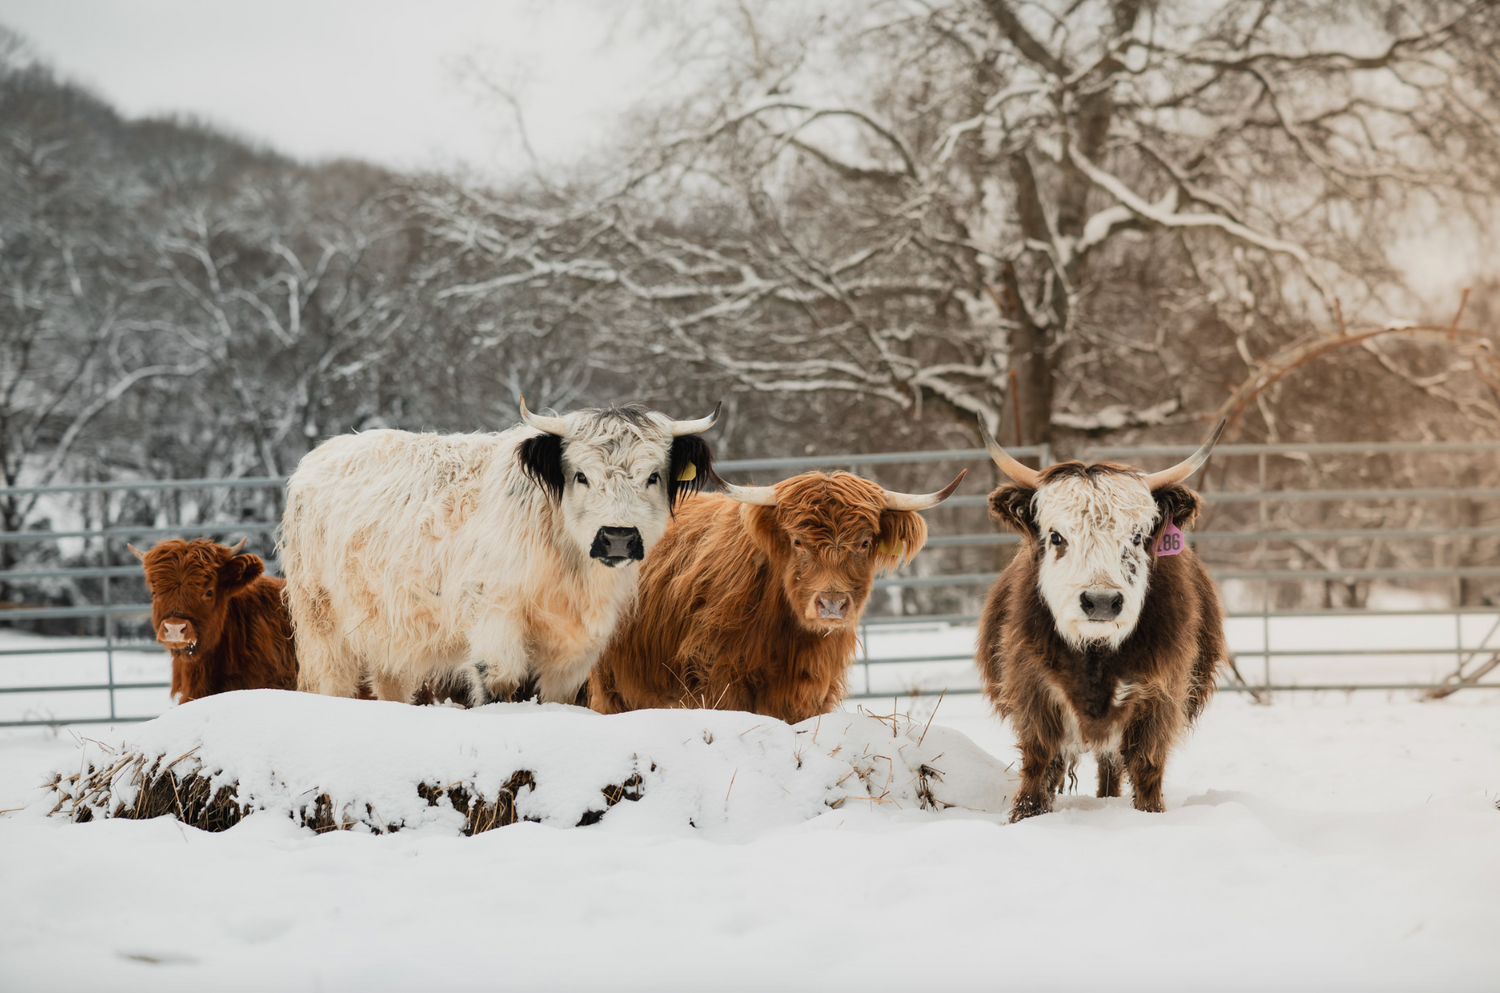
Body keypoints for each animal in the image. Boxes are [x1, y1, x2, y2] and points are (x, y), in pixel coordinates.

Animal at [279, 399, 720, 706]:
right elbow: (500, 685)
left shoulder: (574, 650)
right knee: (333, 682)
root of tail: (320, 455)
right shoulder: (494, 616)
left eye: (653, 476)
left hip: (392, 631)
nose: (617, 537)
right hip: (322, 622)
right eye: (581, 475)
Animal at [588, 469, 965, 723]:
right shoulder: (718, 680)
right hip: (612, 683)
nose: (832, 603)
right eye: (798, 541)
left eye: (864, 542)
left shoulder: (810, 691)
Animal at [975, 420, 1229, 821]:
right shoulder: (1032, 689)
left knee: (1111, 766)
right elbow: (1038, 762)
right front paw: (1025, 816)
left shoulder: (1161, 694)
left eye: (1137, 536)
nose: (1101, 602)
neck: (1095, 656)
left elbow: (1146, 765)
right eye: (1056, 536)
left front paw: (1151, 814)